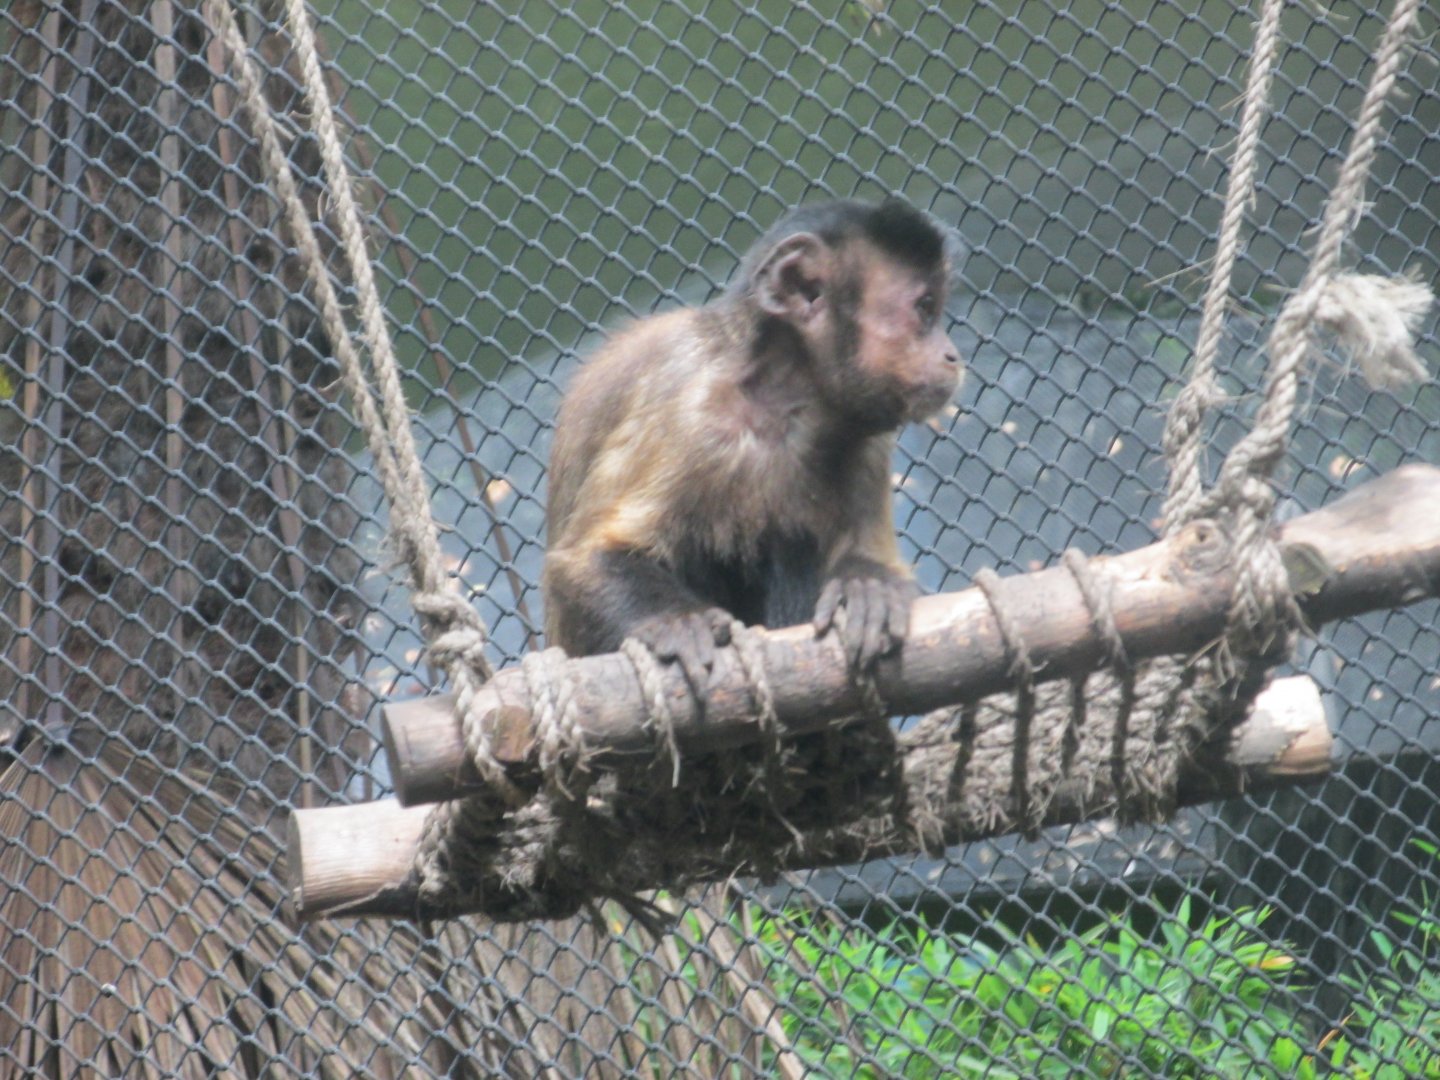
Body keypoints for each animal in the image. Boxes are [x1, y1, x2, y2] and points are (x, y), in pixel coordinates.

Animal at [543, 198, 963, 697]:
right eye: (925, 309)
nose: (953, 355)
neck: (779, 403)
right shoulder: (688, 415)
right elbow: (584, 562)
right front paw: (678, 622)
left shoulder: (867, 434)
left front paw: (868, 585)